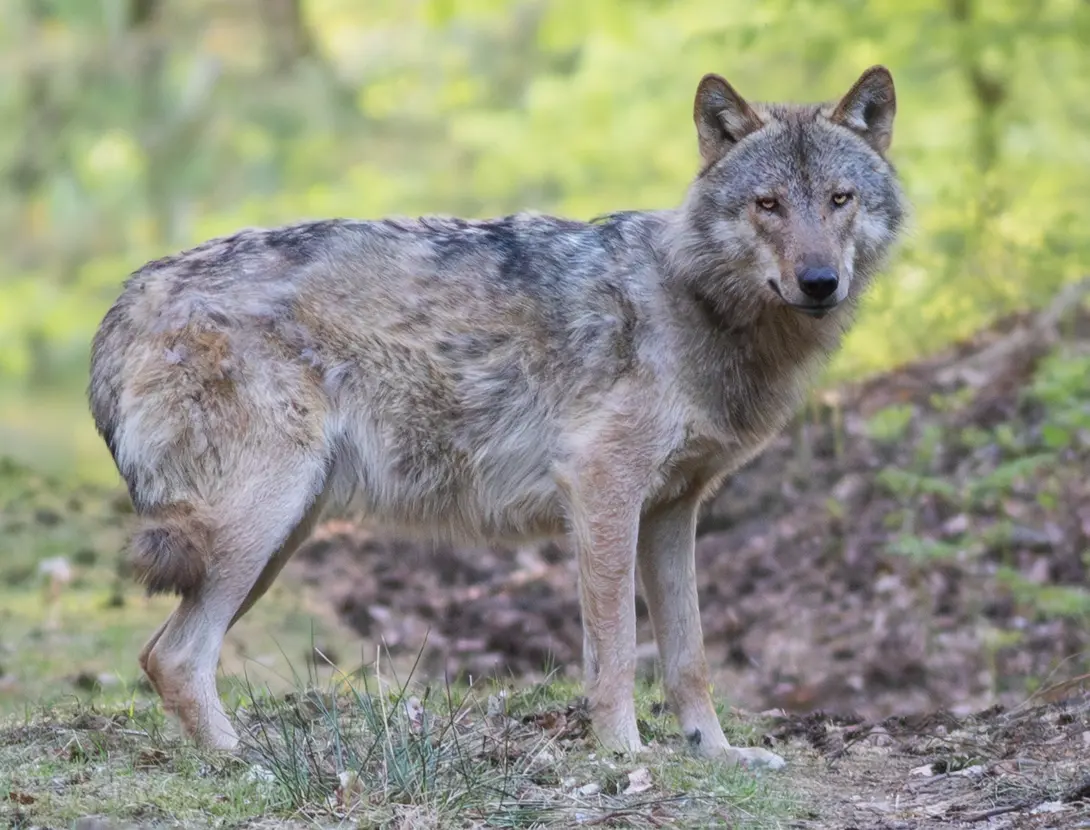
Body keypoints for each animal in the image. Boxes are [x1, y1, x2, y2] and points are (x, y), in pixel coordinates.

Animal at [88, 65, 905, 769]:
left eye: (839, 199)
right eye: (768, 204)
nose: (820, 281)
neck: (693, 304)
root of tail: (128, 299)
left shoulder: (673, 513)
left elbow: (689, 656)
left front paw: (717, 753)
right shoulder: (602, 491)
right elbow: (615, 650)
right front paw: (624, 755)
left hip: (278, 537)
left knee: (164, 653)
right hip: (256, 527)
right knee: (174, 656)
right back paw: (248, 767)